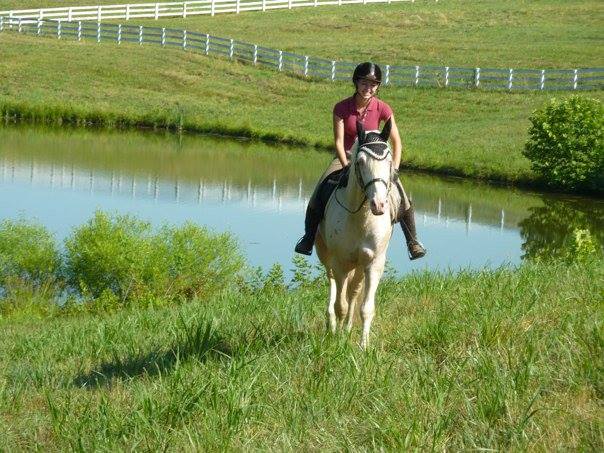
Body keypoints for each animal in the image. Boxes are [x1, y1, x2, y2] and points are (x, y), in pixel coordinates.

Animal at [314, 119, 398, 346]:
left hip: (359, 266)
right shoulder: (340, 263)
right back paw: (333, 326)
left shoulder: (374, 263)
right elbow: (340, 304)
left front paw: (363, 346)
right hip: (327, 258)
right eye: (360, 162)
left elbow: (366, 307)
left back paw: (347, 328)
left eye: (389, 162)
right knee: (333, 286)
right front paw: (337, 341)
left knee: (353, 291)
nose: (378, 204)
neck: (361, 219)